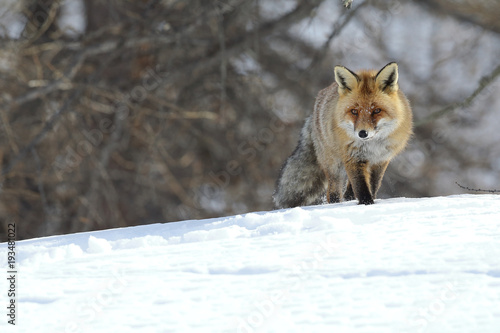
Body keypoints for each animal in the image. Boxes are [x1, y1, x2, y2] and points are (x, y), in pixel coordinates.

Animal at [276, 62, 412, 206]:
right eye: (354, 111)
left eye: (376, 111)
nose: (362, 133)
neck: (372, 145)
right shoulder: (352, 157)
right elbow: (361, 186)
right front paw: (366, 203)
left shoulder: (381, 160)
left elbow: (373, 185)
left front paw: (370, 202)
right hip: (333, 165)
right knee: (333, 192)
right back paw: (336, 204)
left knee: (348, 191)